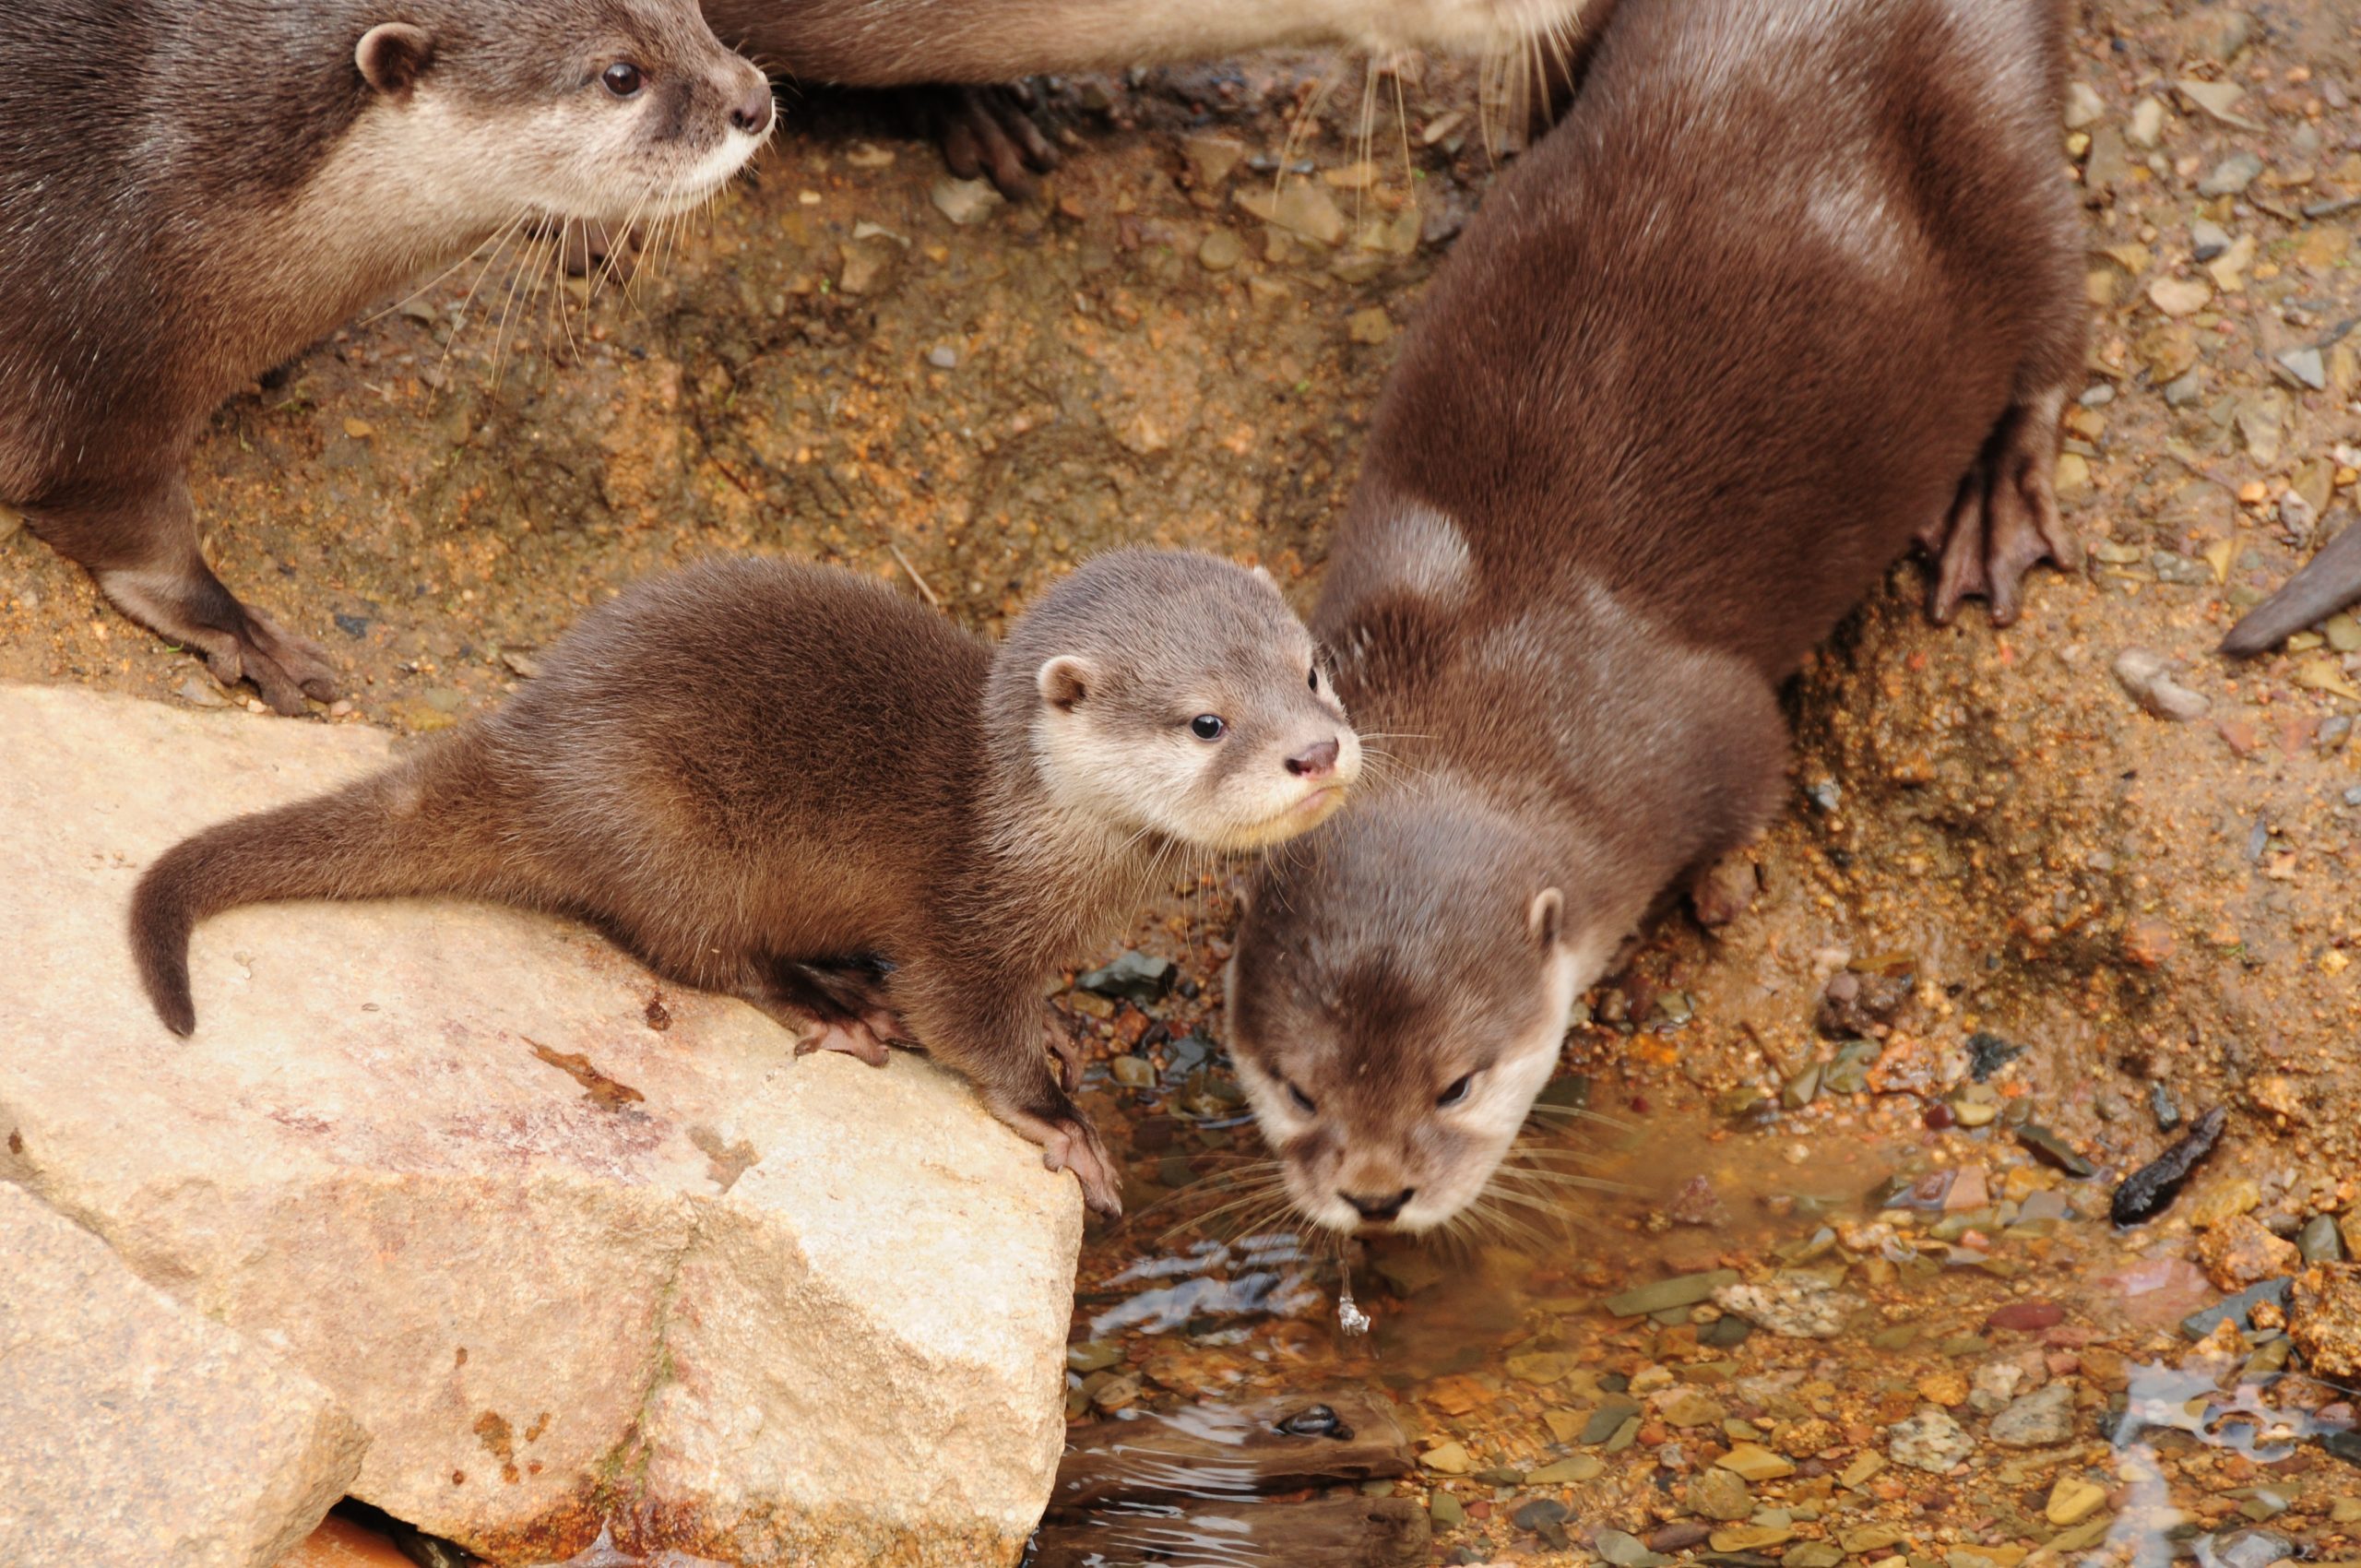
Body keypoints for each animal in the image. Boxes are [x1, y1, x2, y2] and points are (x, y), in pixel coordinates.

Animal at [0, 0, 774, 708]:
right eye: (621, 75)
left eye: (691, 8)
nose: (755, 102)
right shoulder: (101, 358)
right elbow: (127, 524)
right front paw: (247, 634)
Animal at [129, 550, 1369, 1208]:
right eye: (1206, 720)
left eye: (1311, 671)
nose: (1316, 750)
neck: (1046, 842)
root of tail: (528, 739)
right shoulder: (960, 923)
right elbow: (961, 1019)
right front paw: (1064, 1122)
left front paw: (1062, 1028)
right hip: (668, 828)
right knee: (696, 952)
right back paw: (834, 1003)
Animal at [1217, 0, 2087, 1237]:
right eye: (1296, 1084)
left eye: (1458, 1082)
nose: (1376, 1196)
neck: (1480, 669)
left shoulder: (1719, 736)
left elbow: (1746, 801)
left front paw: (1718, 893)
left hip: (1996, 137)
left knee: (2056, 313)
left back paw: (1997, 497)